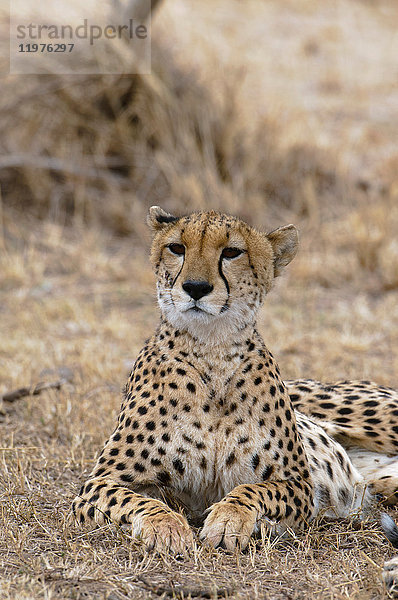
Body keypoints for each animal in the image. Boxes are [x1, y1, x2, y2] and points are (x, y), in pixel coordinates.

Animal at [71, 207, 398, 576]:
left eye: (231, 253)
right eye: (176, 248)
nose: (195, 287)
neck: (212, 349)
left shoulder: (299, 485)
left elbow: (251, 490)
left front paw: (231, 519)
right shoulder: (99, 482)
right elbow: (137, 500)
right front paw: (166, 527)